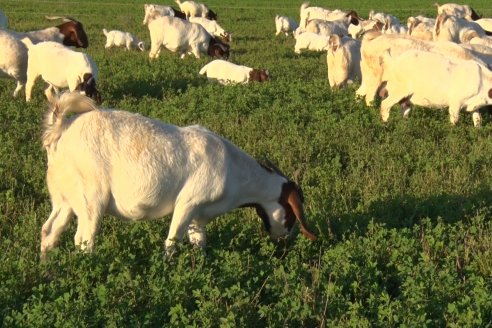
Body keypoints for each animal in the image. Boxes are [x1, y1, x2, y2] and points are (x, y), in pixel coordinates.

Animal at [40, 91, 318, 258]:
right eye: (291, 212)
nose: (282, 243)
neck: (234, 170)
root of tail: (61, 129)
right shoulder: (188, 202)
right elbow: (172, 242)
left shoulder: (199, 215)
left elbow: (199, 243)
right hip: (91, 198)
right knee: (83, 239)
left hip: (64, 197)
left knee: (49, 231)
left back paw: (47, 269)